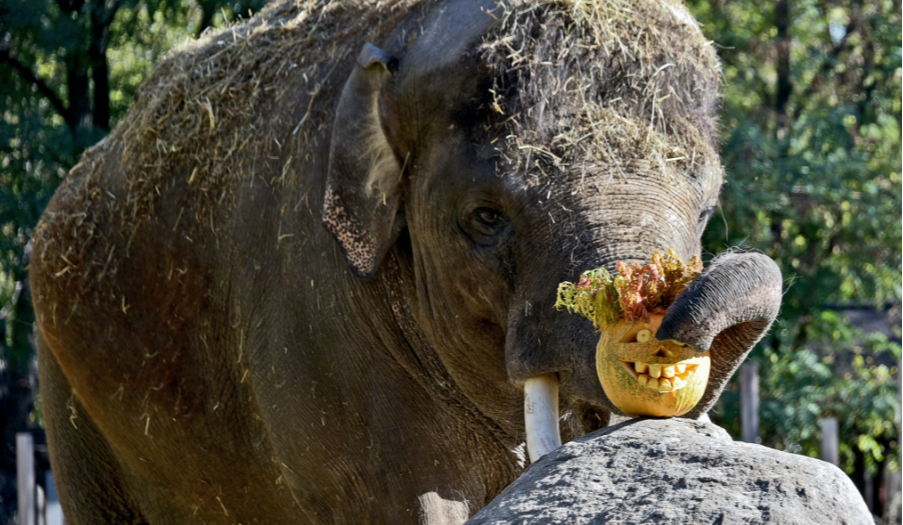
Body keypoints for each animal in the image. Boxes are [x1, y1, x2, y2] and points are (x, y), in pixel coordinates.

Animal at [30, 0, 784, 520]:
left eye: (706, 210)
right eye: (485, 218)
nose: (658, 329)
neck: (404, 32)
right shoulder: (313, 314)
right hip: (66, 395)